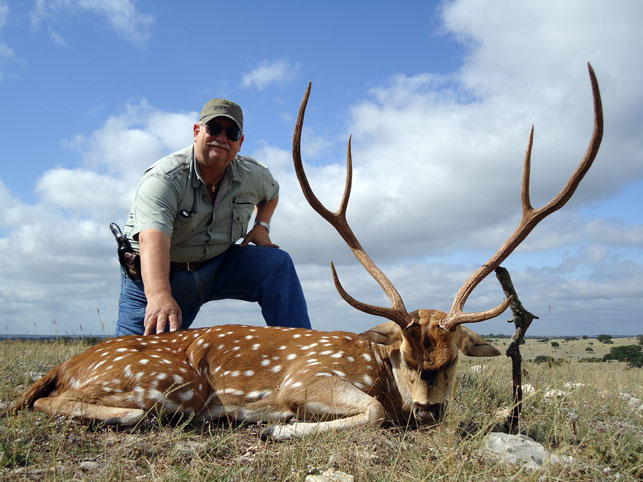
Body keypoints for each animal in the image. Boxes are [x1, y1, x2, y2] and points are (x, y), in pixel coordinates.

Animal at [5, 65, 604, 440]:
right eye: (407, 358)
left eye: (452, 359)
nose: (428, 411)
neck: (376, 365)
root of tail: (61, 365)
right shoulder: (304, 377)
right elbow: (372, 410)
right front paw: (276, 424)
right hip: (166, 382)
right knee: (55, 403)